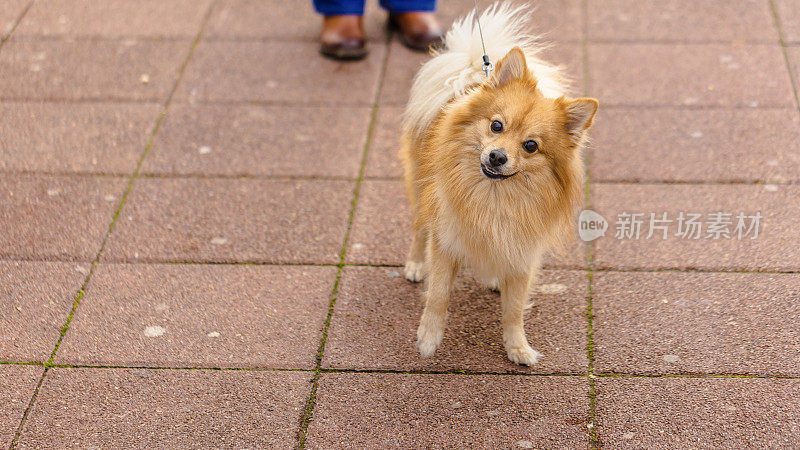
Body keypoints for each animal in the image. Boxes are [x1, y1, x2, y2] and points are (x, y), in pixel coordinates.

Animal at [398, 3, 592, 366]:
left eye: (531, 146)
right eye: (497, 126)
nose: (497, 156)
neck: (495, 198)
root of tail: (474, 73)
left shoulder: (522, 255)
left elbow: (514, 310)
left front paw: (518, 348)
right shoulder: (445, 241)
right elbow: (438, 295)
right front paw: (428, 339)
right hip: (420, 189)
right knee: (419, 229)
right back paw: (415, 264)